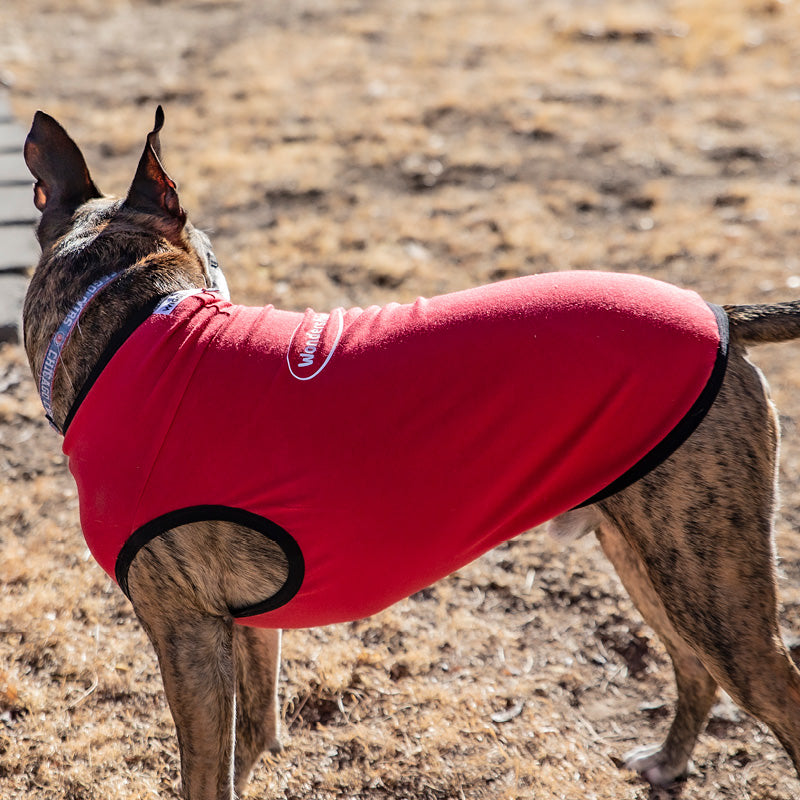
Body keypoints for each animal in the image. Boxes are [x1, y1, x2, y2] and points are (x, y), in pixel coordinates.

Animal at [18, 108, 800, 800]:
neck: (126, 332)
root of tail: (722, 314)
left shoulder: (186, 634)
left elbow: (206, 773)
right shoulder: (242, 624)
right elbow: (256, 730)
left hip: (709, 581)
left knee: (774, 691)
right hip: (651, 556)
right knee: (694, 668)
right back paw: (669, 762)